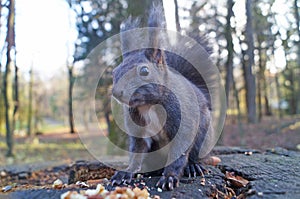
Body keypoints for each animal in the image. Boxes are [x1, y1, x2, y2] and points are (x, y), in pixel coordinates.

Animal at [110, 2, 213, 190]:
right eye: (114, 72)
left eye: (144, 71)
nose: (116, 92)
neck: (148, 104)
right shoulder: (138, 130)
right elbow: (137, 151)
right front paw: (126, 173)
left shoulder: (183, 119)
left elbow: (180, 149)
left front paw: (170, 177)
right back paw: (150, 171)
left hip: (204, 134)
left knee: (195, 154)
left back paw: (193, 166)